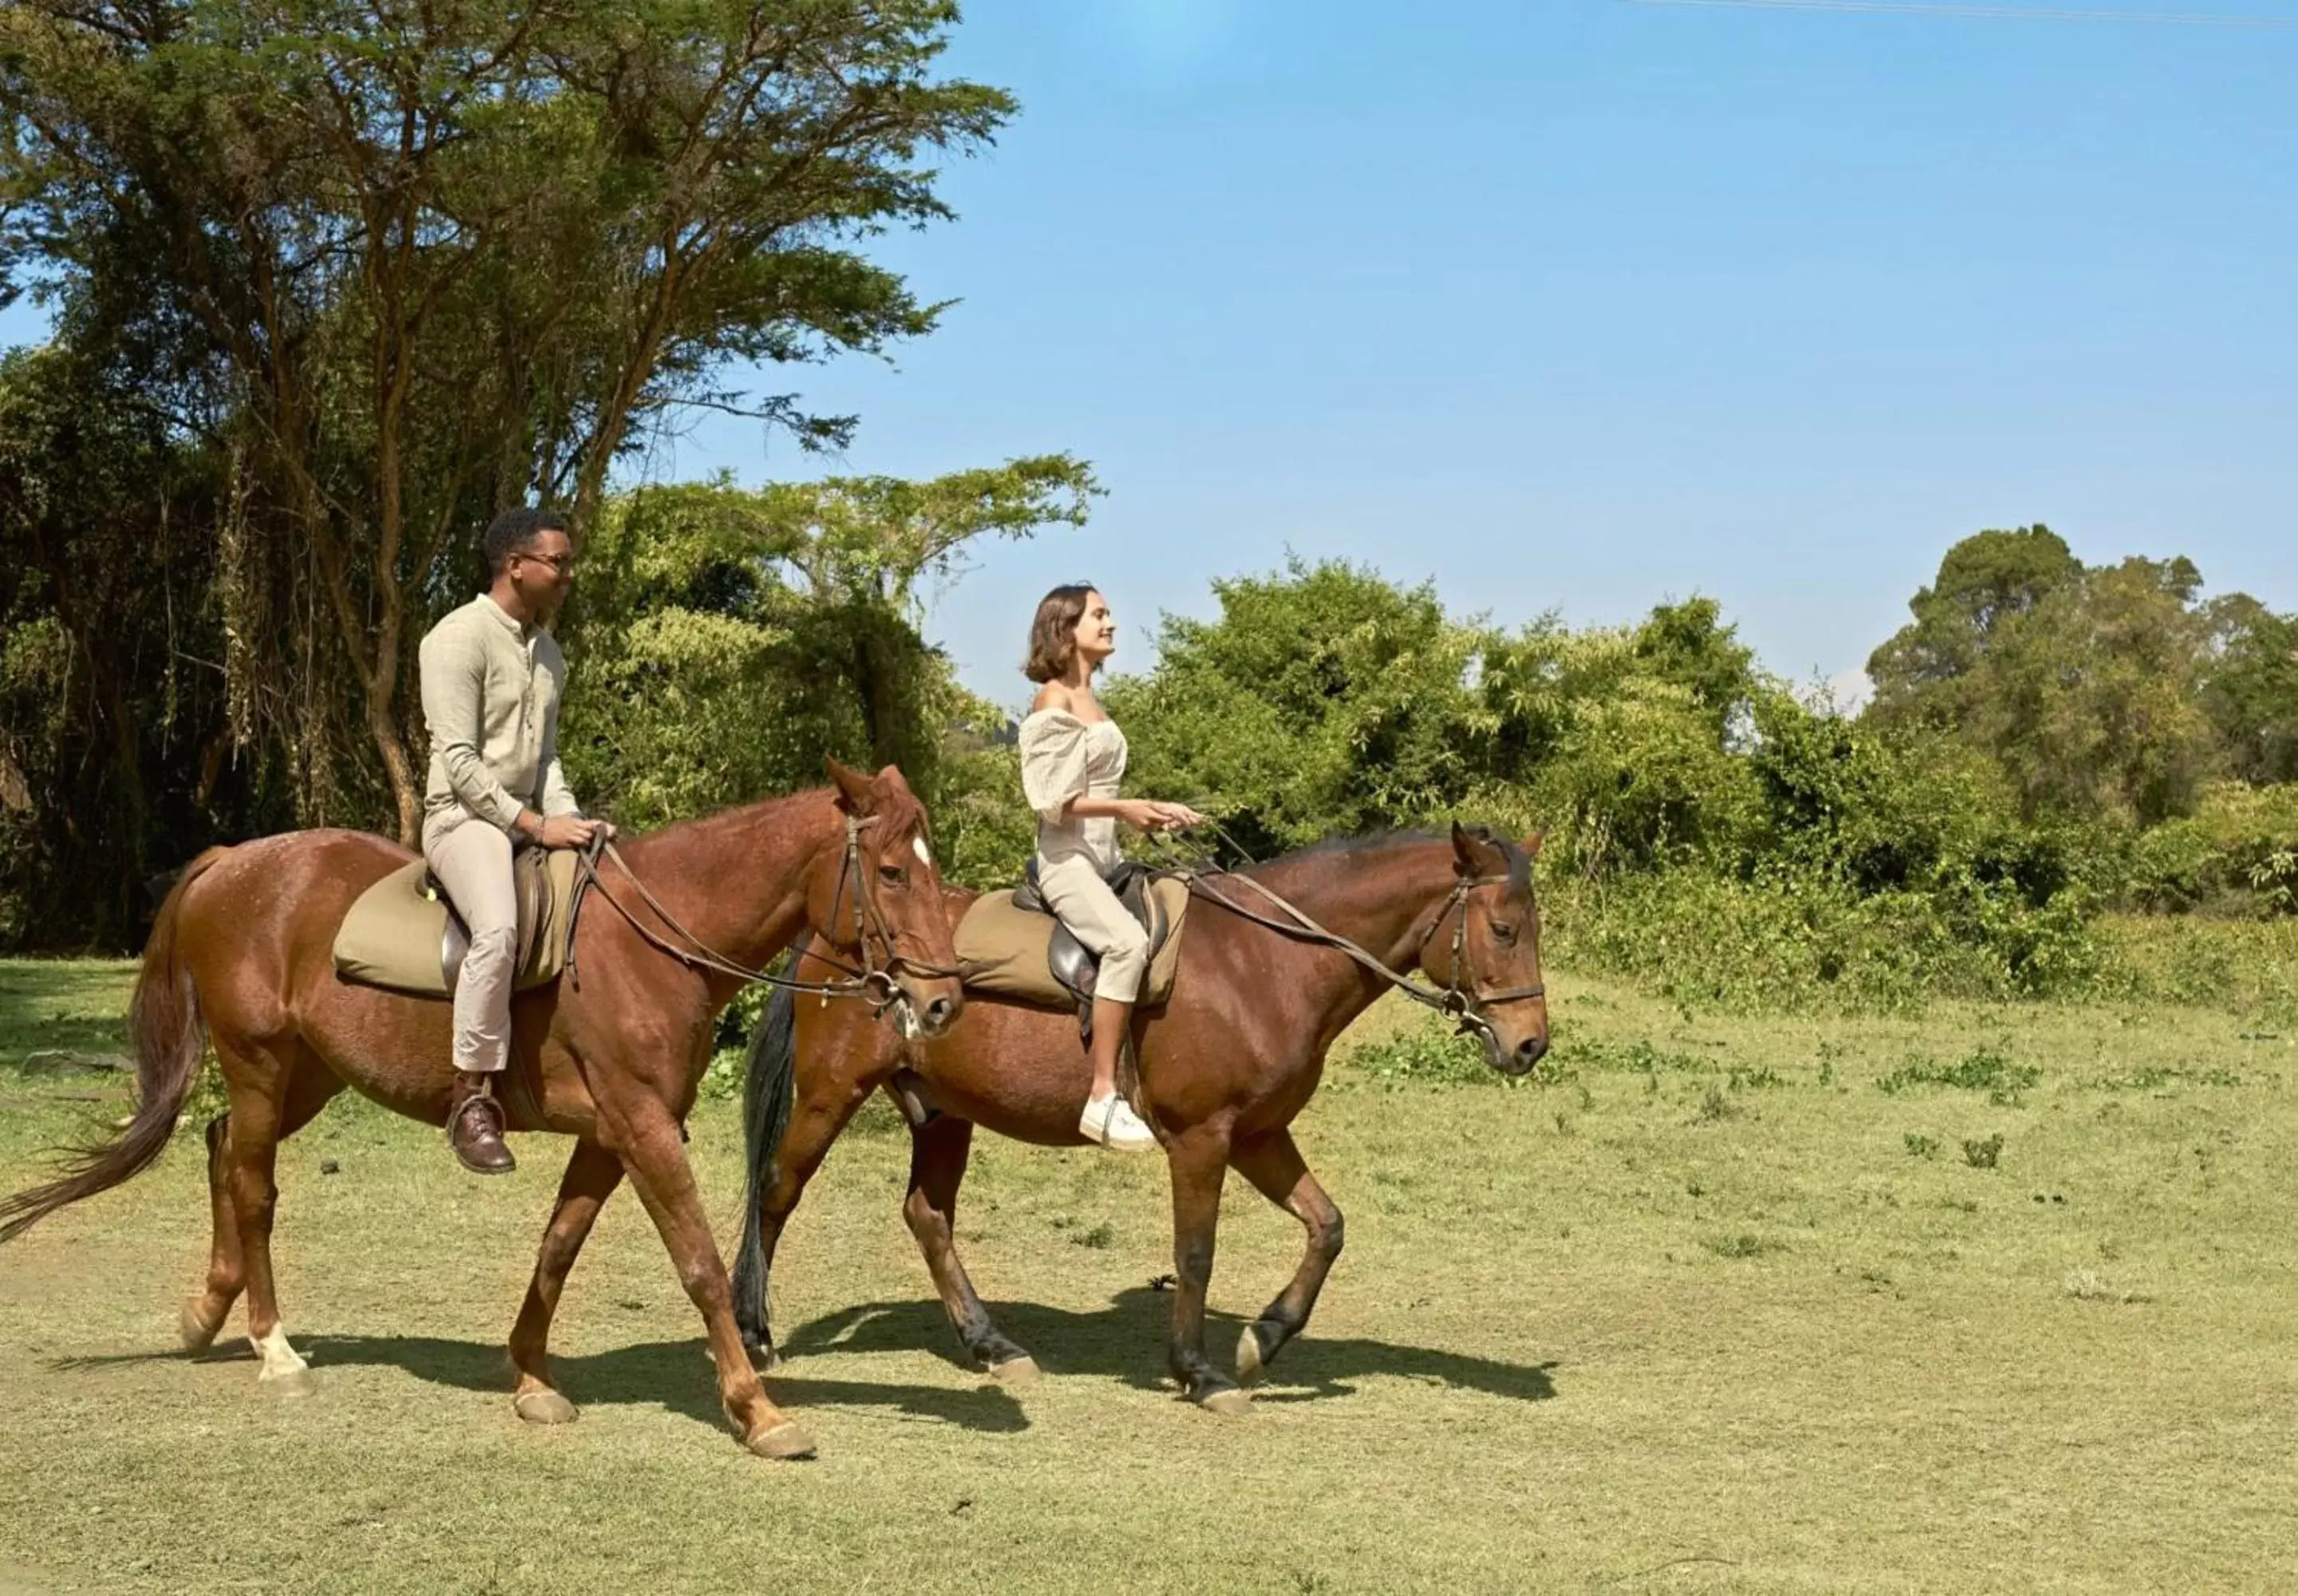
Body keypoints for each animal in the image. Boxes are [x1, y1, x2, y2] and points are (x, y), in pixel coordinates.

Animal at [0, 762, 960, 1460]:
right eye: (889, 872)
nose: (941, 1002)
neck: (648, 945)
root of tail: (231, 861)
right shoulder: (643, 1127)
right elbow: (697, 1263)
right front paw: (757, 1411)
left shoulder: (612, 1134)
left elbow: (558, 1245)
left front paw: (530, 1376)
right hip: (262, 1067)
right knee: (252, 1187)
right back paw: (273, 1345)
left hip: (308, 1076)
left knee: (218, 1144)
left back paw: (208, 1312)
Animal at [730, 822, 1544, 1414]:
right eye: (1504, 931)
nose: (1530, 1044)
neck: (1264, 963)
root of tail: (837, 941)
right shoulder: (1202, 1139)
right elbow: (1195, 1254)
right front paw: (1198, 1372)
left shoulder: (1258, 1135)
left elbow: (1327, 1226)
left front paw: (1265, 1338)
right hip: (831, 1095)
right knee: (776, 1191)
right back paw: (753, 1331)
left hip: (942, 1116)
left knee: (927, 1217)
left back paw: (991, 1345)